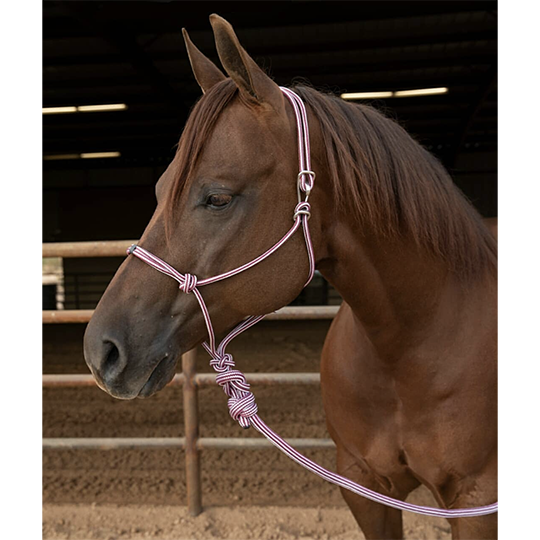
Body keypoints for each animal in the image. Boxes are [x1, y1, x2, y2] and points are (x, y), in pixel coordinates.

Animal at [83, 14, 498, 536]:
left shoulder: (477, 502)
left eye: (217, 197)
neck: (412, 345)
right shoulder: (365, 486)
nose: (101, 350)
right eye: (159, 189)